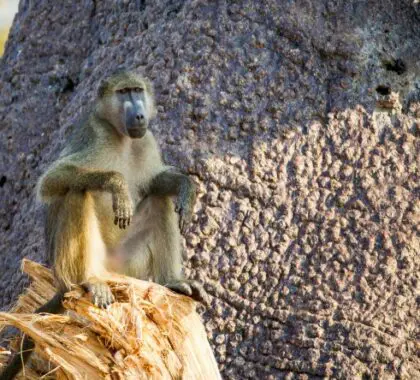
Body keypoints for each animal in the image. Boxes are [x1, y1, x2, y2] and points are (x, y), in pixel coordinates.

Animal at [1, 70, 205, 378]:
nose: (139, 115)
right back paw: (88, 280)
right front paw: (116, 184)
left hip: (128, 267)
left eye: (137, 90)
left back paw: (172, 282)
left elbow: (156, 185)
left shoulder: (147, 140)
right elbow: (52, 181)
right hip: (79, 265)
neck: (122, 137)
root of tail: (109, 270)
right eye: (123, 92)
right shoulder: (94, 136)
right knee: (77, 192)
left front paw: (186, 186)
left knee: (159, 201)